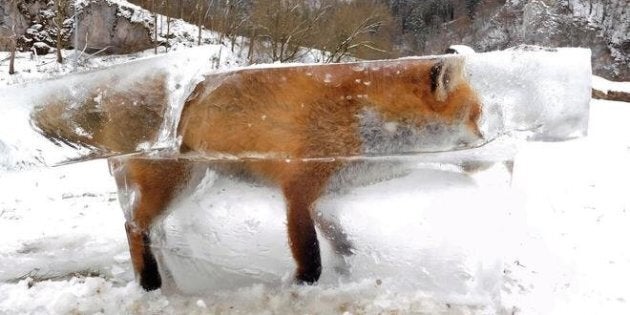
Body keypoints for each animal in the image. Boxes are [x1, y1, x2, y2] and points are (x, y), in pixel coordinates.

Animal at [30, 55, 484, 292]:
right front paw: (301, 285)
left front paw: (348, 264)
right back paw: (150, 281)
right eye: (476, 117)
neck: (361, 119)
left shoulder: (324, 195)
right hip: (172, 182)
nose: (485, 143)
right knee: (133, 226)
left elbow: (339, 238)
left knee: (143, 224)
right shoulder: (298, 189)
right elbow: (310, 253)